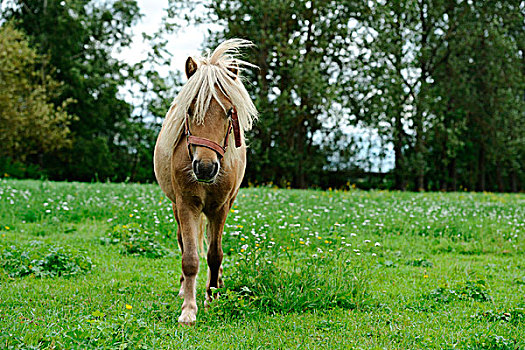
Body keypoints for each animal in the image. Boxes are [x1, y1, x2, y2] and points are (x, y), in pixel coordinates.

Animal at [152, 39, 256, 326]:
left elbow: (215, 254)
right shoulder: (186, 205)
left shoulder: (219, 208)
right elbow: (190, 257)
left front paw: (212, 296)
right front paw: (189, 309)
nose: (206, 168)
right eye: (189, 110)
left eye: (229, 112)